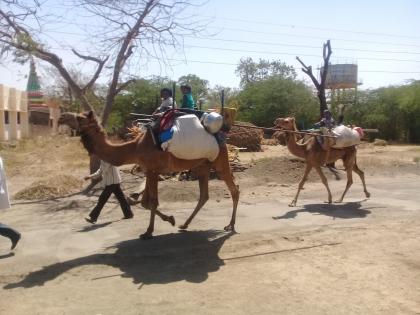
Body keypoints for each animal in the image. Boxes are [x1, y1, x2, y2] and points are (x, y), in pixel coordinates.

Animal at [74, 111, 240, 239]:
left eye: (81, 118)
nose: (70, 120)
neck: (136, 147)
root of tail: (221, 137)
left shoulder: (153, 170)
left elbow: (152, 202)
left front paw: (148, 232)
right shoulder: (148, 170)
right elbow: (144, 202)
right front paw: (171, 219)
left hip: (220, 162)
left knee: (234, 190)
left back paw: (230, 226)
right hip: (202, 166)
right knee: (204, 195)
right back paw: (185, 224)